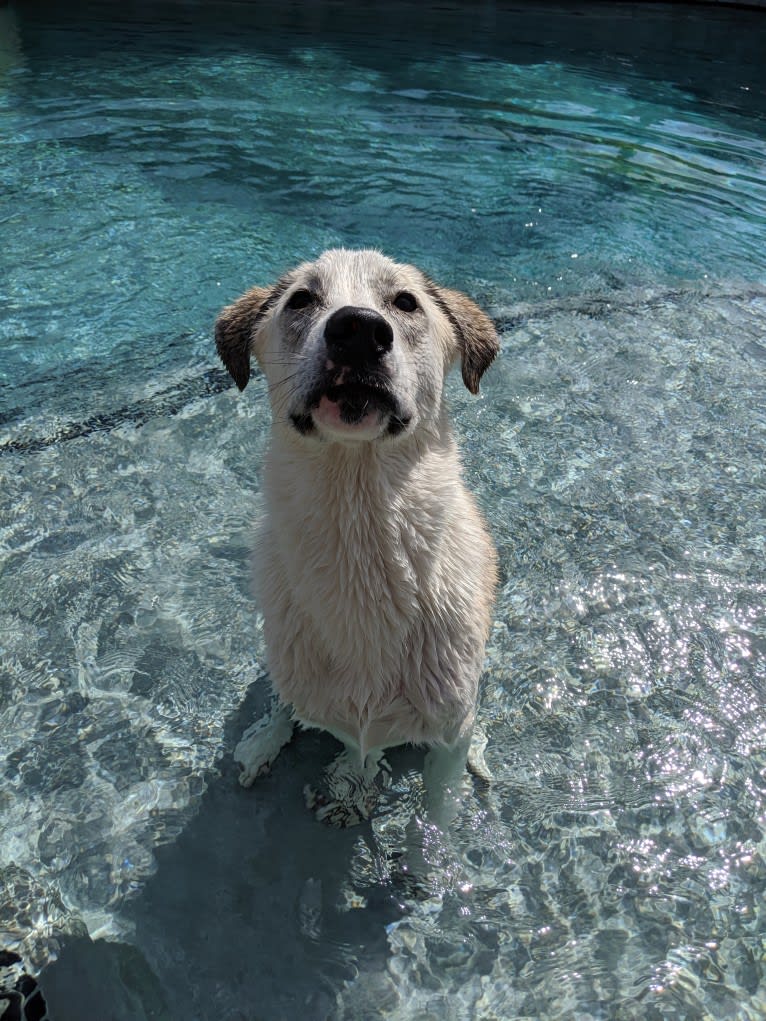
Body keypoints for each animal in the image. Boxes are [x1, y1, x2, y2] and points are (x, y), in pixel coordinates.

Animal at [214, 249, 498, 829]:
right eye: (301, 299)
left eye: (405, 302)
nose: (359, 330)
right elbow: (342, 738)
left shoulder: (447, 736)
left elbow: (436, 816)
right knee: (283, 700)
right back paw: (263, 742)